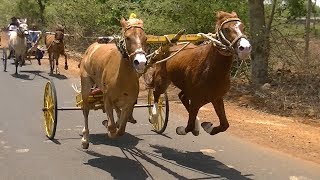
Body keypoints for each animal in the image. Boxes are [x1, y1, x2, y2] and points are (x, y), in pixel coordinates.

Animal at [80, 16, 148, 149]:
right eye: (128, 37)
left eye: (145, 38)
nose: (141, 62)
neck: (121, 78)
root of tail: (92, 47)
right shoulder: (107, 98)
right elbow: (112, 127)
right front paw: (108, 125)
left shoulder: (129, 103)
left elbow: (121, 129)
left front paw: (116, 124)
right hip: (85, 86)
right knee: (85, 110)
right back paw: (85, 138)